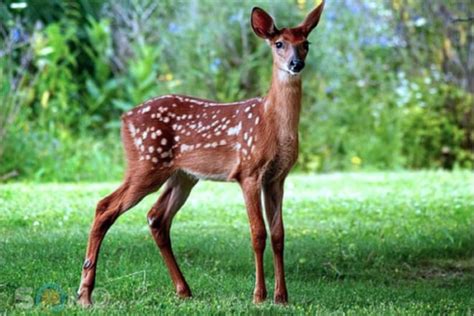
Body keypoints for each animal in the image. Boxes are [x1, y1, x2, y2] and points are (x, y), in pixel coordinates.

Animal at [78, 1, 326, 306]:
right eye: (279, 43)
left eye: (306, 44)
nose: (296, 64)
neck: (271, 123)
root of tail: (124, 119)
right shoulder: (248, 170)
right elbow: (258, 233)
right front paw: (259, 295)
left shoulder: (277, 177)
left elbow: (279, 234)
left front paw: (282, 297)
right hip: (146, 164)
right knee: (105, 207)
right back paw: (85, 294)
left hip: (182, 175)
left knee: (156, 217)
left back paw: (183, 290)